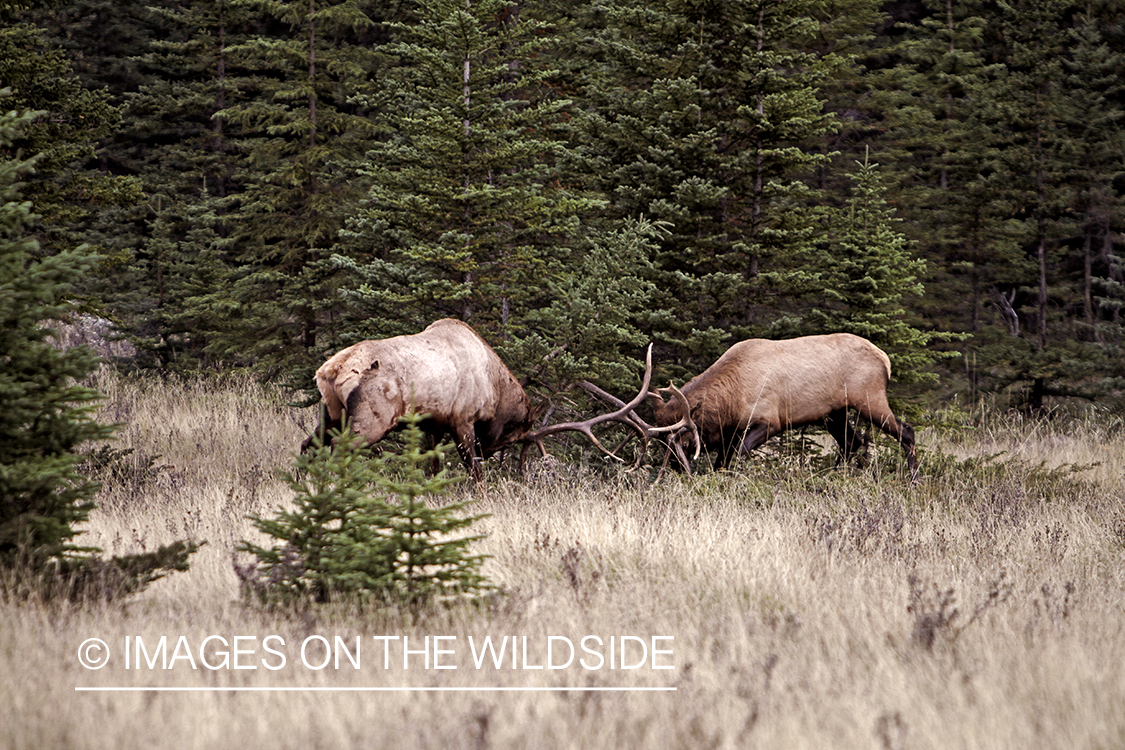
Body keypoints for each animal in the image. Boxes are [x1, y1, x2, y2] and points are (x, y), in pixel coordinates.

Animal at [303, 319, 535, 481]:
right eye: (512, 439)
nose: (487, 453)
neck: (494, 390)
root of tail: (332, 369)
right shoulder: (463, 420)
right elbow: (474, 469)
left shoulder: (437, 425)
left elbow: (434, 465)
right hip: (373, 420)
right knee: (337, 445)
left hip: (332, 412)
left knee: (308, 443)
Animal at [649, 334, 919, 481]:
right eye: (662, 443)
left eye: (685, 443)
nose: (676, 469)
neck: (731, 400)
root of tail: (885, 359)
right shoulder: (731, 430)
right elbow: (721, 463)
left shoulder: (770, 421)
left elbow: (740, 452)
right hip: (834, 412)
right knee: (851, 441)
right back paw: (831, 476)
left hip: (868, 398)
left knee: (906, 431)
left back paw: (913, 480)